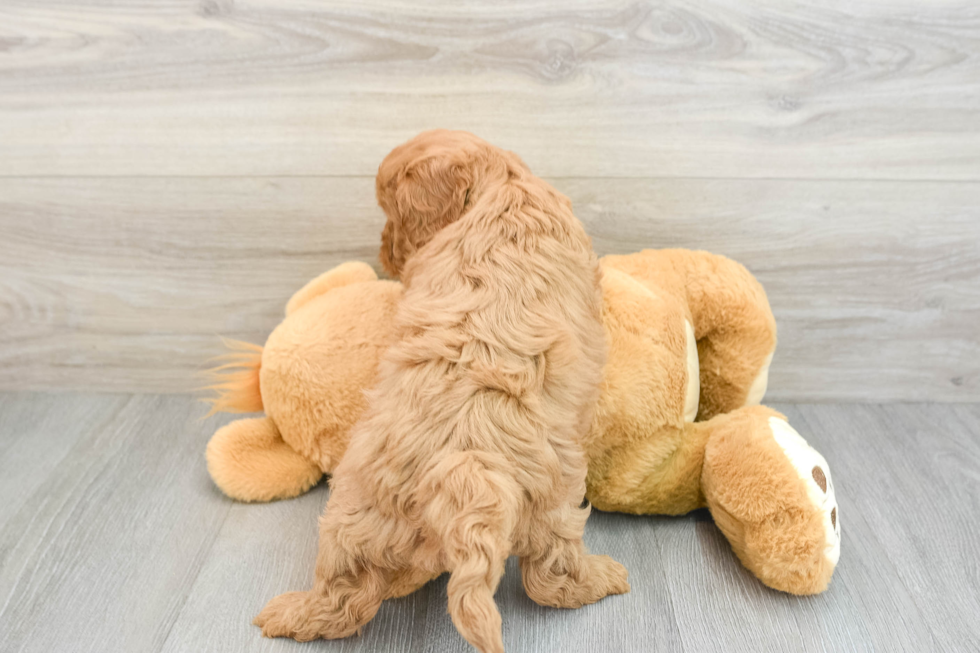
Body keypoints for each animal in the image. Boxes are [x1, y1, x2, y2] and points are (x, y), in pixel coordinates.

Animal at [253, 130, 632, 648]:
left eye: (390, 210)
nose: (385, 253)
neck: (502, 183)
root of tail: (465, 467)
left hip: (362, 509)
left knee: (346, 590)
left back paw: (293, 615)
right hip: (557, 498)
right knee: (552, 576)